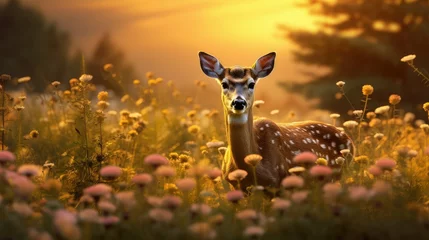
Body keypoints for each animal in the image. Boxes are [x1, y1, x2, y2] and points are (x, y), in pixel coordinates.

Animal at [199, 51, 352, 192]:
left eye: (251, 84)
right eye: (224, 84)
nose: (239, 102)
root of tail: (349, 139)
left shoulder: (281, 184)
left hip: (336, 176)